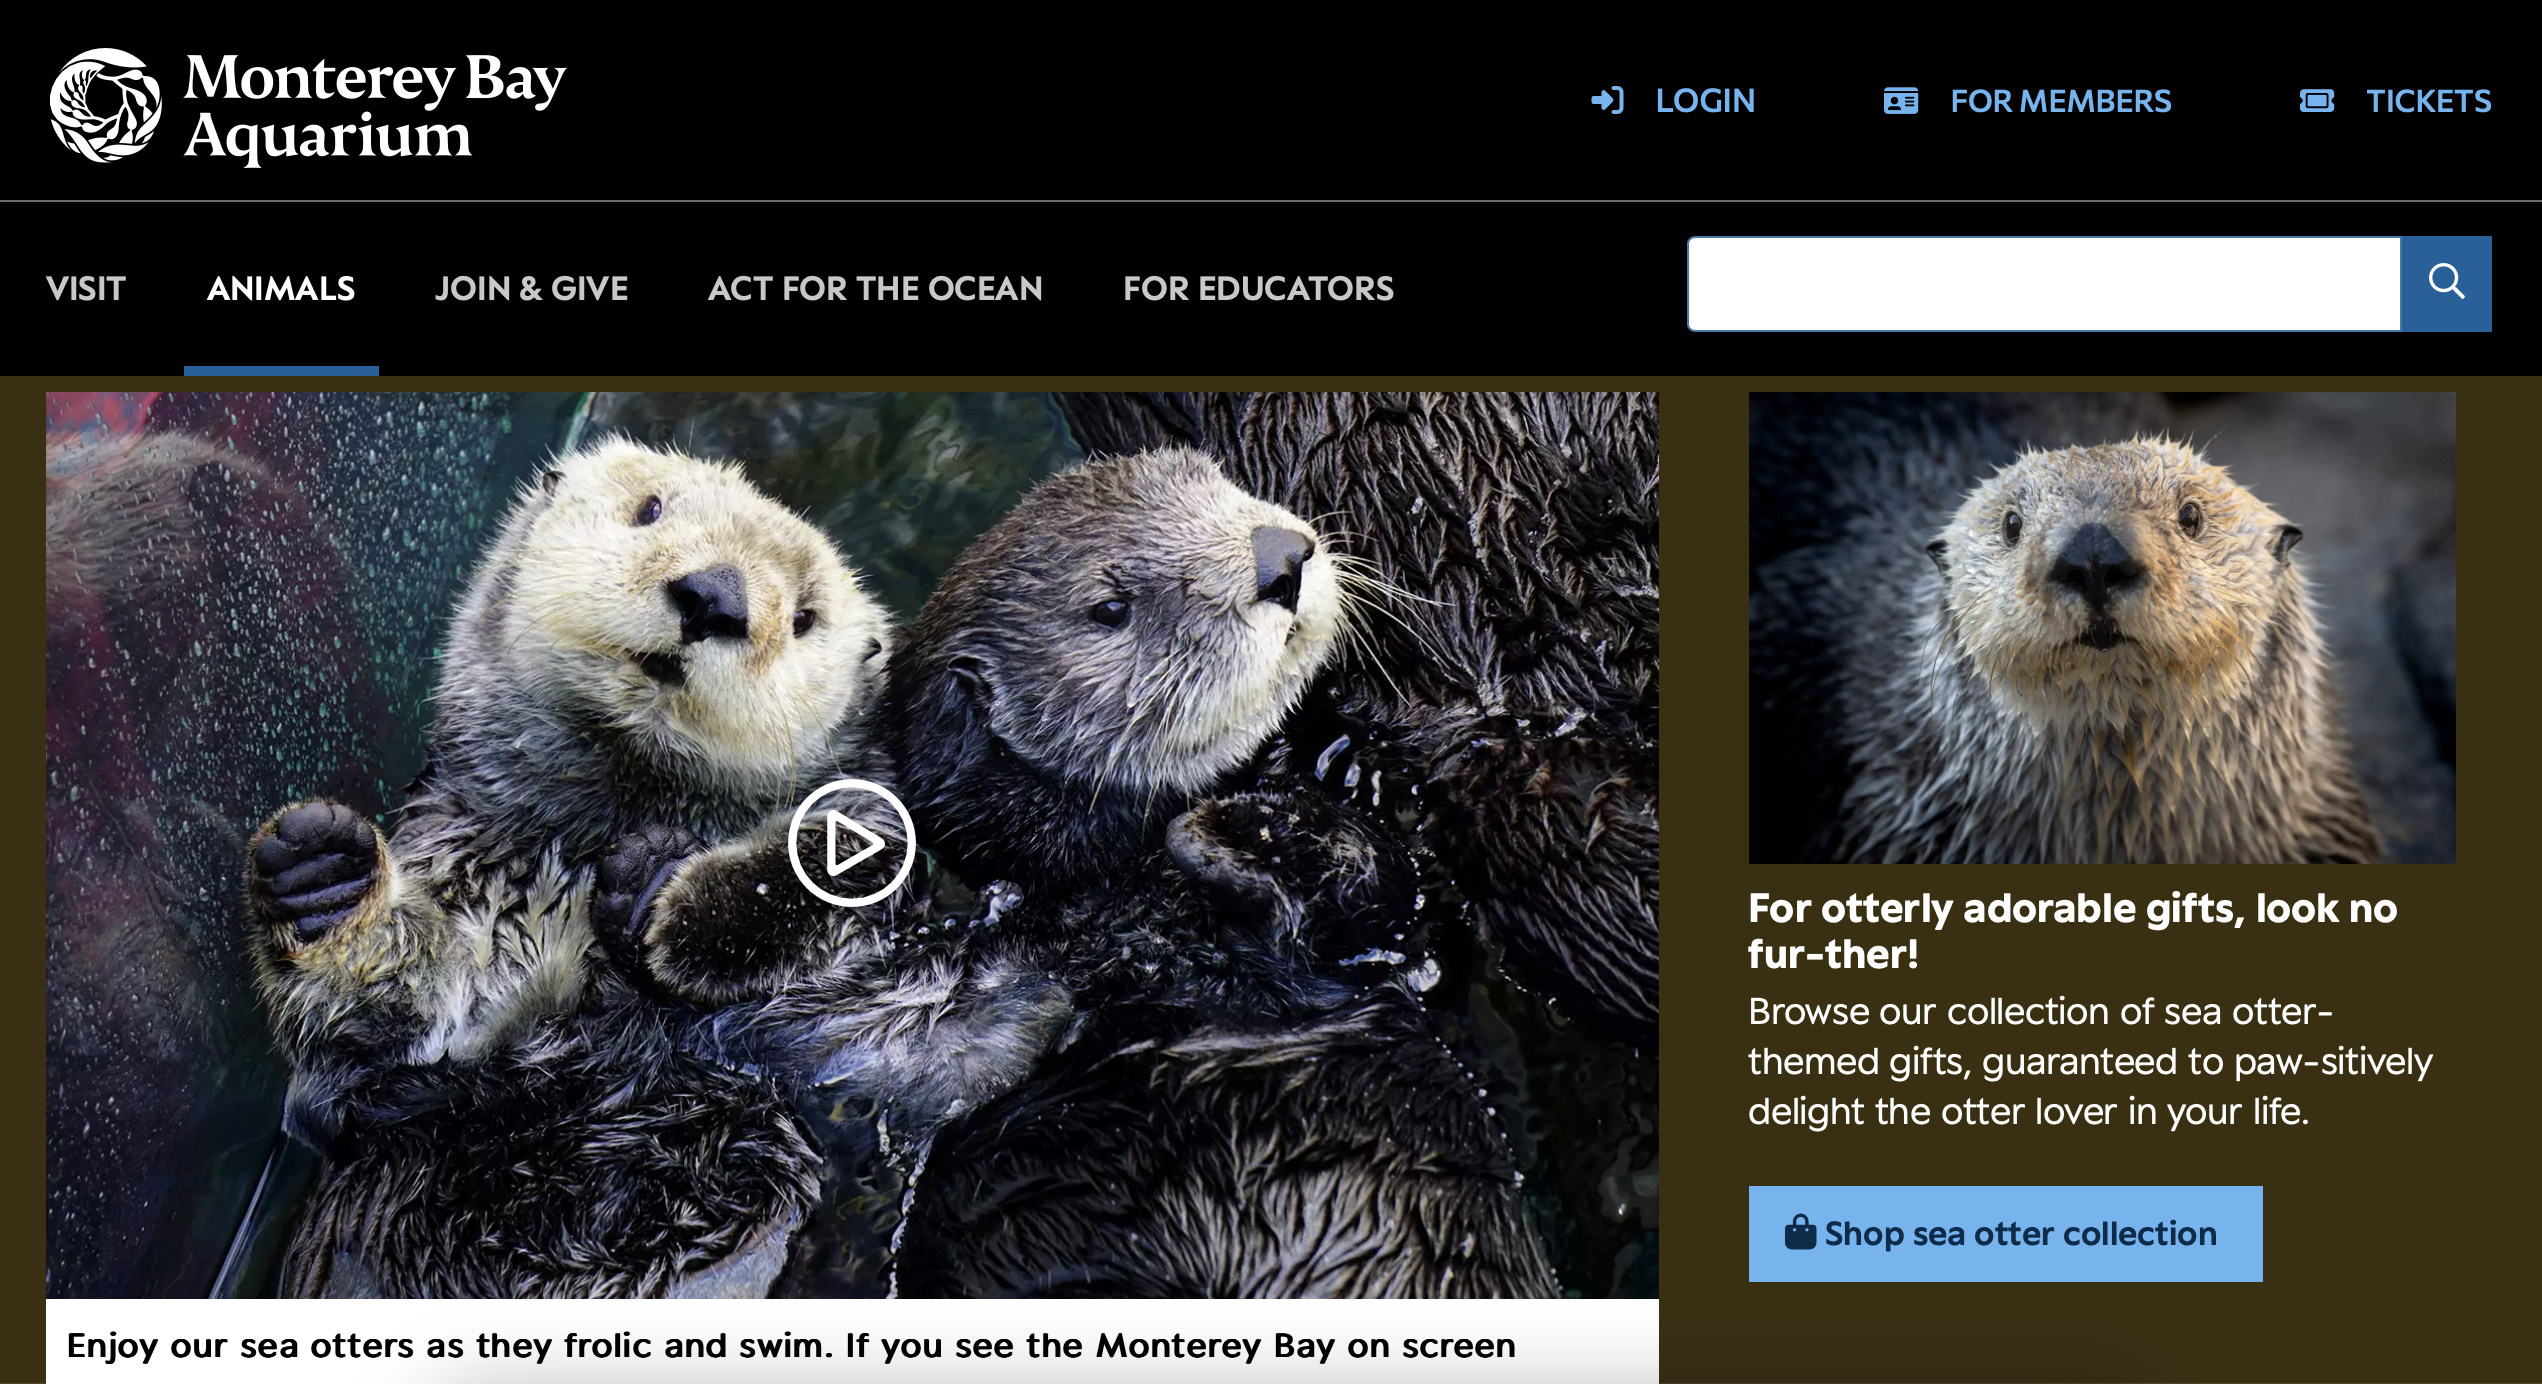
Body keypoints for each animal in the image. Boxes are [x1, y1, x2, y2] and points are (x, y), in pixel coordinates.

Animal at [241, 437, 905, 1295]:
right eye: (650, 509)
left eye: (804, 618)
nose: (714, 597)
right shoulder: (471, 879)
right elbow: (371, 1037)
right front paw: (323, 879)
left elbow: (853, 876)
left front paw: (667, 898)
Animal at [874, 447, 1559, 1297]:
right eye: (1109, 608)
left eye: (1215, 482)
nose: (1281, 558)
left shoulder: (1418, 921)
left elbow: (1384, 891)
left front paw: (1232, 826)